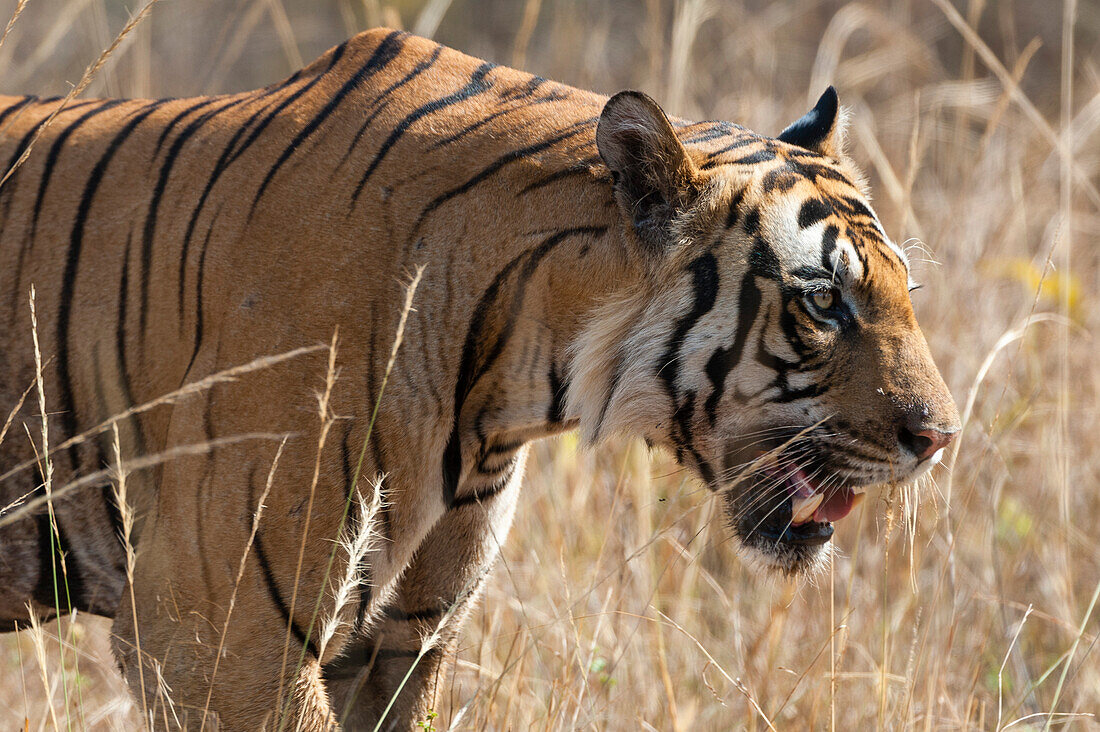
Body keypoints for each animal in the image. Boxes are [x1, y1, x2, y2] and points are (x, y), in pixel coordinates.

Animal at [0, 28, 959, 730]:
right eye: (825, 301)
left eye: (904, 293)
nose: (942, 438)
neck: (508, 388)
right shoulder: (217, 638)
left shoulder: (404, 641)